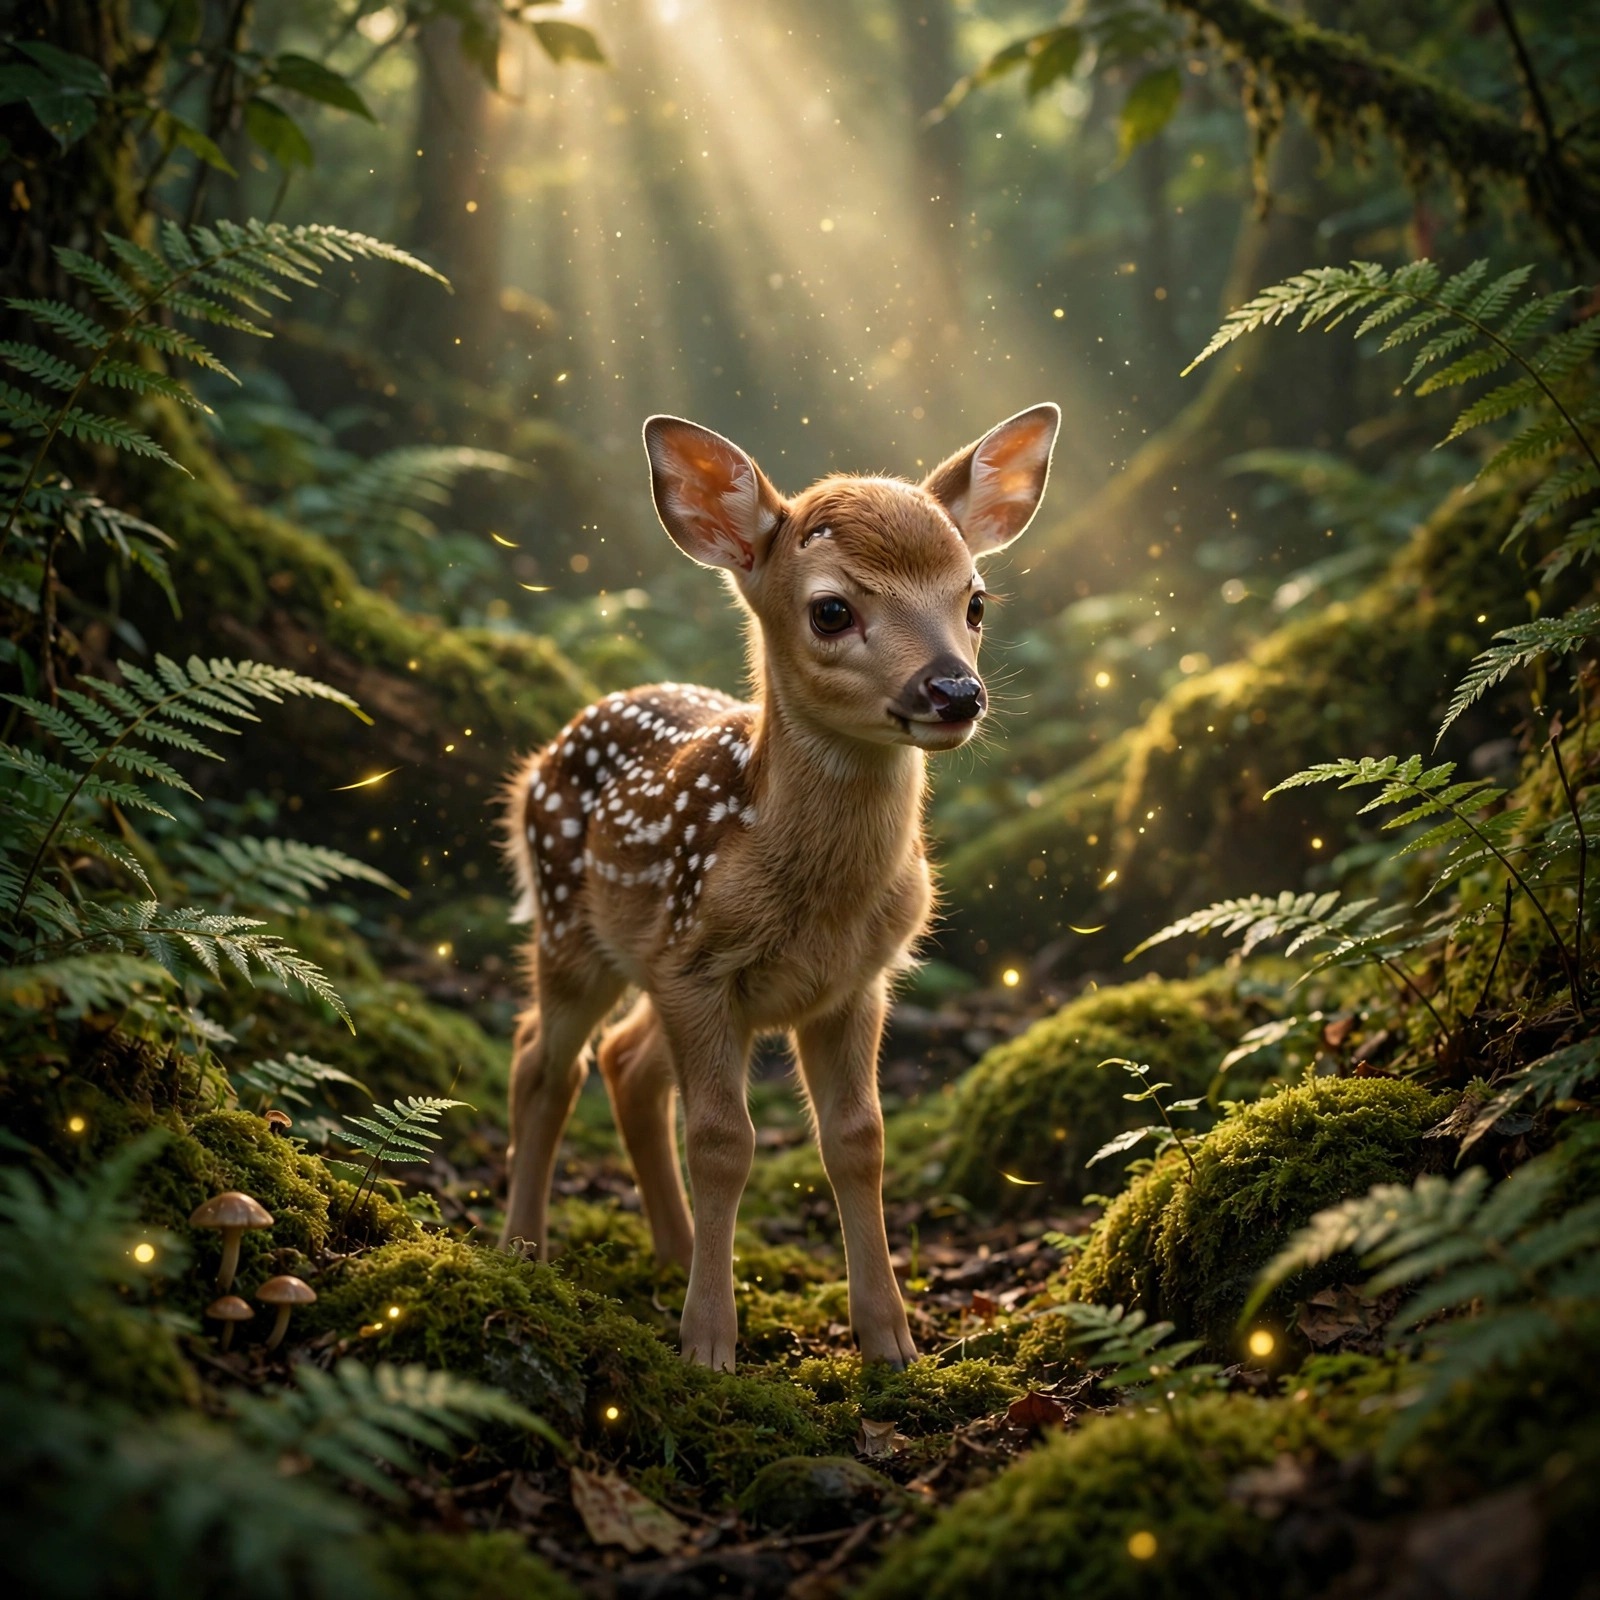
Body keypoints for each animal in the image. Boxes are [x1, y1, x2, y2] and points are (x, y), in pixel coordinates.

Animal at [499, 403, 1060, 1371]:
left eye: (975, 600)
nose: (954, 691)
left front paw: (891, 1342)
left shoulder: (854, 982)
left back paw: (674, 1251)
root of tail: (545, 753)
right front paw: (709, 1346)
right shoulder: (700, 968)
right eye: (832, 610)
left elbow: (859, 1140)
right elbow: (725, 1142)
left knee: (623, 1063)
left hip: (649, 966)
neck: (814, 900)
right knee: (543, 1057)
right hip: (571, 925)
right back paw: (522, 1252)